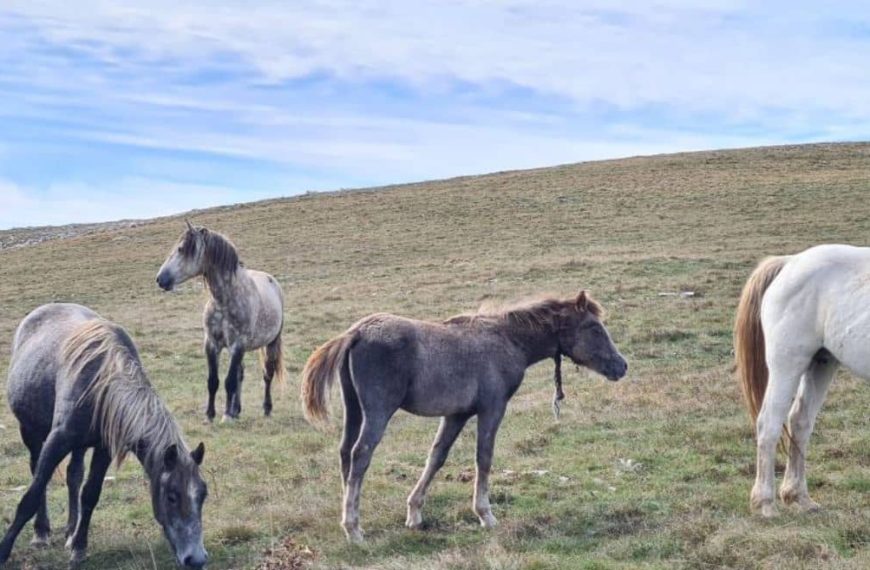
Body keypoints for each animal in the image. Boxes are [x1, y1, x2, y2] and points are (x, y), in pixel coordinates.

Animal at [0, 302, 209, 564]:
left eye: (203, 495)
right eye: (172, 495)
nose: (197, 559)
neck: (102, 382)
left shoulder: (104, 449)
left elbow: (90, 494)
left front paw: (79, 547)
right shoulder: (57, 441)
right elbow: (32, 495)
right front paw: (5, 549)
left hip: (79, 445)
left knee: (74, 475)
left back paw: (71, 530)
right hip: (30, 432)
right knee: (36, 470)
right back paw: (41, 532)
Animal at [158, 222, 288, 422]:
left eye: (181, 249)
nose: (160, 279)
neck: (224, 301)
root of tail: (272, 281)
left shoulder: (237, 345)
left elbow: (229, 381)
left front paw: (226, 415)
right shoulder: (211, 344)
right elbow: (213, 381)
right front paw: (210, 415)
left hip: (272, 342)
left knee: (267, 374)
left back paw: (265, 408)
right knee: (241, 373)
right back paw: (237, 410)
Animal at [304, 290, 632, 540]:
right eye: (594, 328)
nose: (622, 366)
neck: (507, 340)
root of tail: (356, 332)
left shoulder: (456, 415)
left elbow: (436, 457)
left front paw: (414, 513)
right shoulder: (492, 408)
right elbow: (483, 458)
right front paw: (485, 514)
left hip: (354, 410)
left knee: (345, 453)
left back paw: (349, 516)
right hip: (377, 413)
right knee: (360, 454)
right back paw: (353, 529)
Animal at [736, 243, 870, 516]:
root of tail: (790, 262)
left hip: (821, 363)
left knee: (799, 421)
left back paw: (798, 496)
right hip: (787, 365)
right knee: (769, 423)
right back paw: (765, 503)